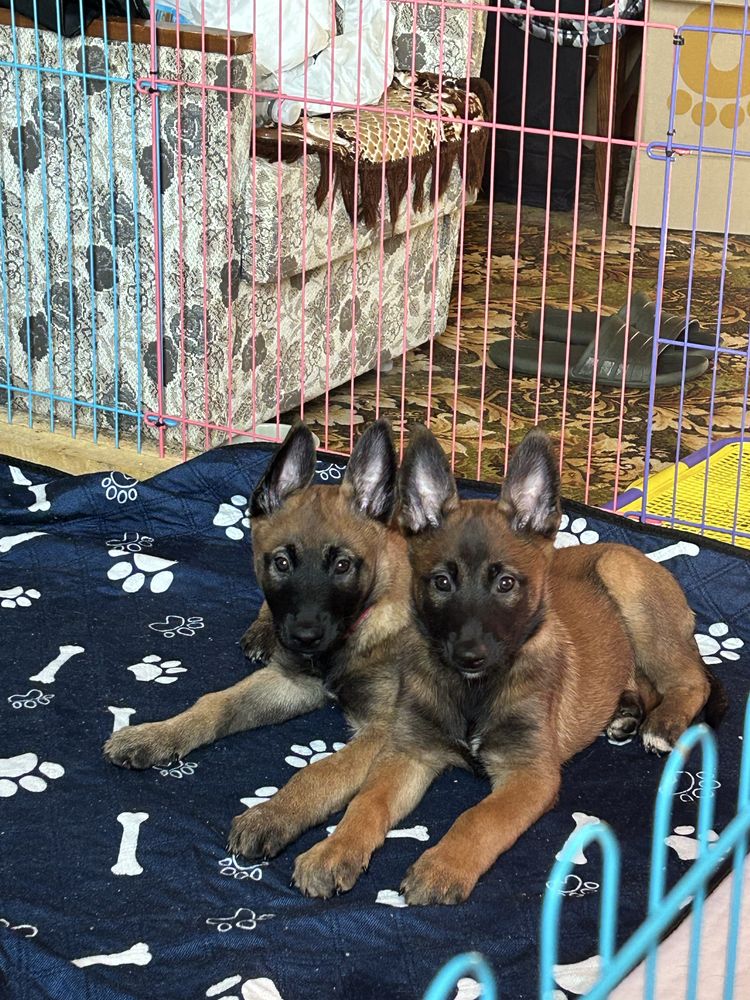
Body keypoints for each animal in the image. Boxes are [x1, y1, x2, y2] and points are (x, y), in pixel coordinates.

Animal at [104, 419, 424, 860]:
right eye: (282, 562)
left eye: (343, 565)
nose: (303, 637)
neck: (360, 622)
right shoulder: (291, 682)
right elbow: (215, 704)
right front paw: (156, 734)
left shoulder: (384, 730)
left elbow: (320, 771)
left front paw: (272, 815)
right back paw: (262, 631)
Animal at [291, 425, 726, 904]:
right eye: (441, 582)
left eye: (505, 584)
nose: (470, 655)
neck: (475, 691)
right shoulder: (409, 753)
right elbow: (367, 801)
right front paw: (334, 851)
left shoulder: (530, 776)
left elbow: (479, 818)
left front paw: (442, 866)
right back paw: (626, 713)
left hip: (627, 585)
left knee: (691, 680)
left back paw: (662, 724)